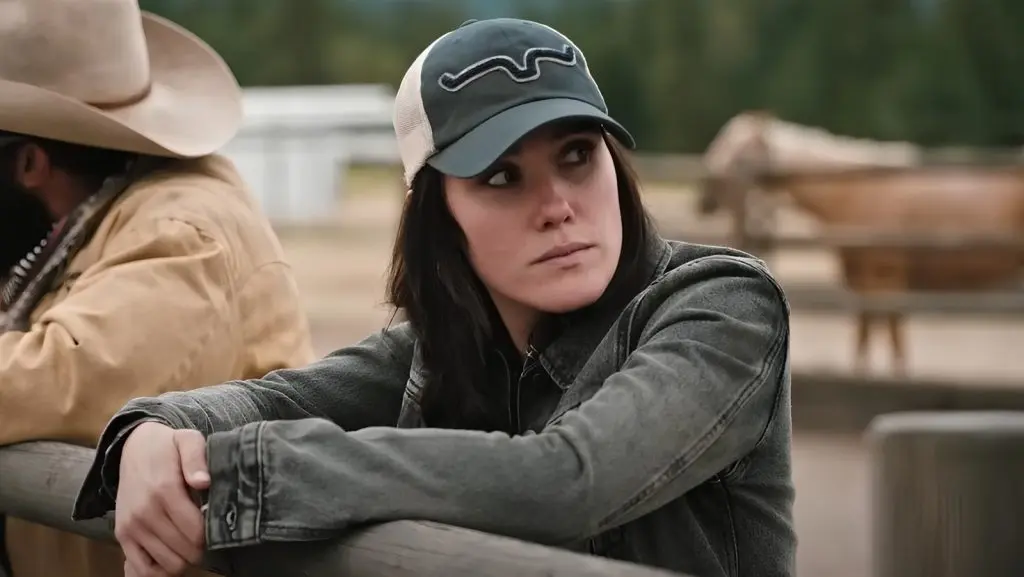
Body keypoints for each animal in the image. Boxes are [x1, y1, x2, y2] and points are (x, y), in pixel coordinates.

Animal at [700, 112, 1024, 377]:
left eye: (740, 151)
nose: (706, 199)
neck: (853, 193)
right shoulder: (863, 278)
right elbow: (866, 329)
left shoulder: (885, 276)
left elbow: (889, 330)